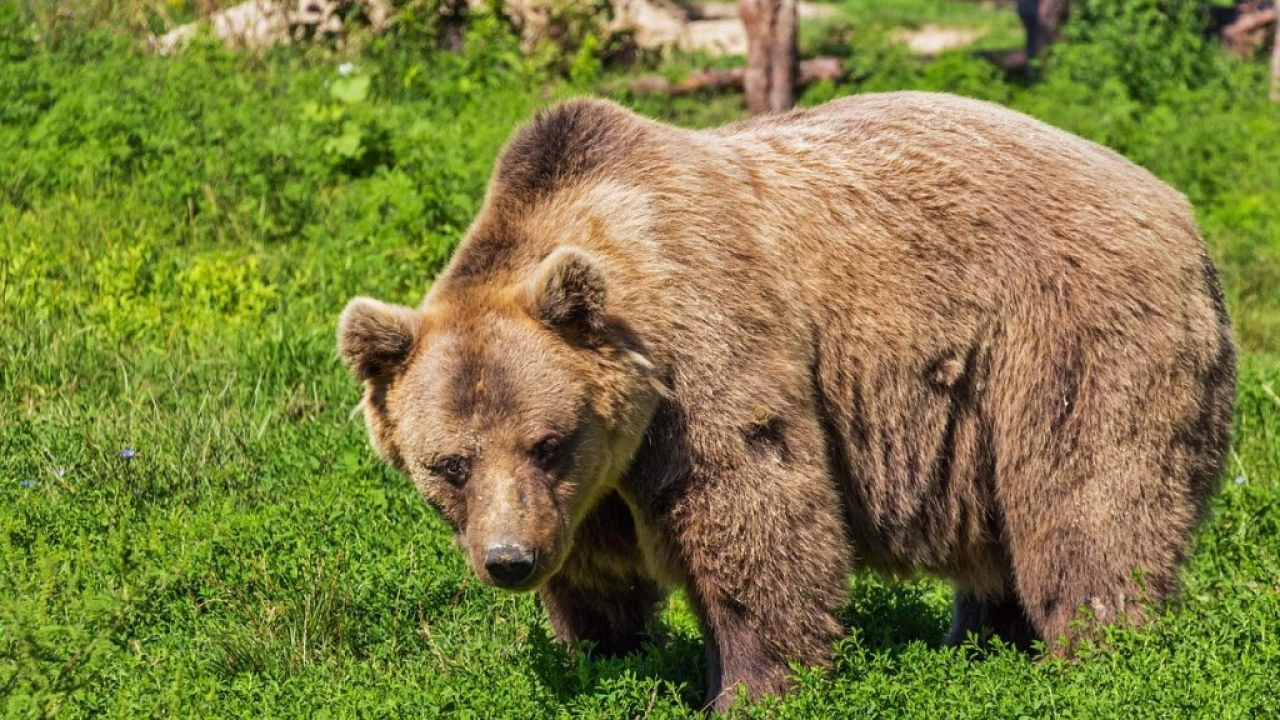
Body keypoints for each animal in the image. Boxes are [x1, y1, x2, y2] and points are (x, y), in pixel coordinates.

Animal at [337, 92, 1236, 712]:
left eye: (546, 440)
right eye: (449, 464)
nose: (509, 560)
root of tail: (1180, 208)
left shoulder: (705, 356)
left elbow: (754, 512)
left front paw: (749, 687)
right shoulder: (590, 486)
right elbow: (597, 574)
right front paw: (608, 655)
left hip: (1067, 338)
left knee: (1089, 503)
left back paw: (1096, 654)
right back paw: (980, 643)